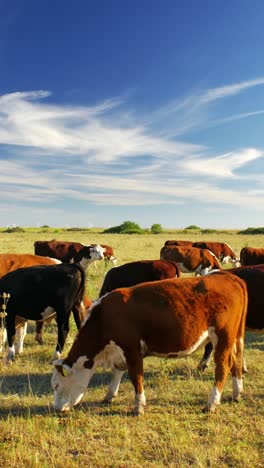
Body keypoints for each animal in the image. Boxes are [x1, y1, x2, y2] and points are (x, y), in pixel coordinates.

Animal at [51, 272, 248, 414]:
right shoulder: (119, 351)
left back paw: (212, 403)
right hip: (235, 338)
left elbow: (136, 377)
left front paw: (138, 406)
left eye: (57, 385)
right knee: (236, 361)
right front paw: (109, 395)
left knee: (222, 366)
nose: (57, 409)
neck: (104, 317)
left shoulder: (132, 349)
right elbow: (117, 371)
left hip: (223, 336)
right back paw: (236, 393)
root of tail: (229, 276)